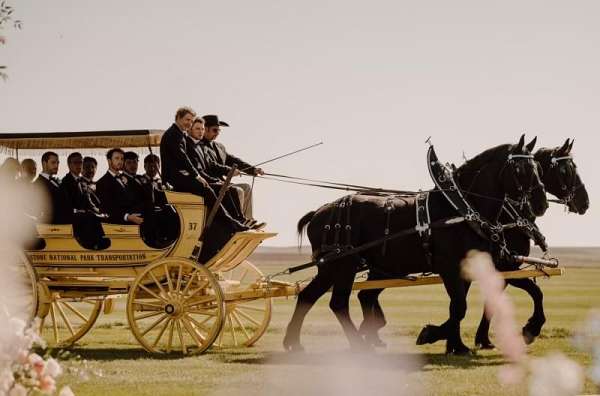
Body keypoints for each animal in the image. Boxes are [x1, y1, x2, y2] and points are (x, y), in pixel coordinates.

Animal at [284, 135, 548, 352]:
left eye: (538, 167)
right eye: (522, 168)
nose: (541, 203)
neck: (460, 208)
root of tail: (319, 212)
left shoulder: (473, 268)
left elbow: (462, 306)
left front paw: (456, 343)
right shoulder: (451, 268)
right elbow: (459, 307)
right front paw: (433, 334)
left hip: (332, 267)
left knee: (309, 297)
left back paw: (294, 342)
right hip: (344, 265)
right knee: (338, 303)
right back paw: (358, 343)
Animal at [474, 138, 592, 348]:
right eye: (566, 170)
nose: (585, 202)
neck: (509, 216)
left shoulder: (505, 270)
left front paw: (483, 338)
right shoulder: (507, 267)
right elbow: (536, 292)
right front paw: (532, 328)